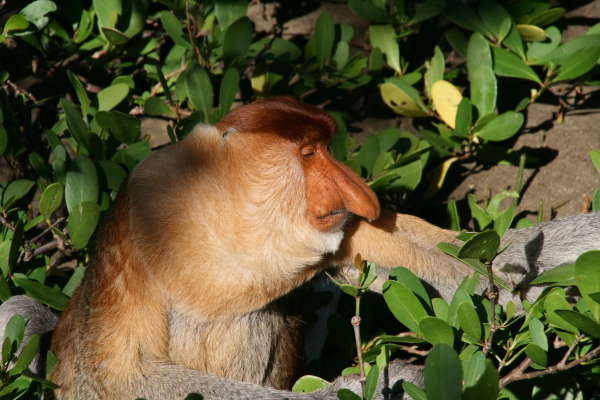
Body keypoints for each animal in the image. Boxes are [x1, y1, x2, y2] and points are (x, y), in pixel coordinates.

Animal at [1, 97, 600, 400]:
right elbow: (124, 378)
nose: (361, 195)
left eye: (329, 147)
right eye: (309, 153)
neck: (222, 221)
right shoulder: (148, 216)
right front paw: (379, 383)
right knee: (21, 310)